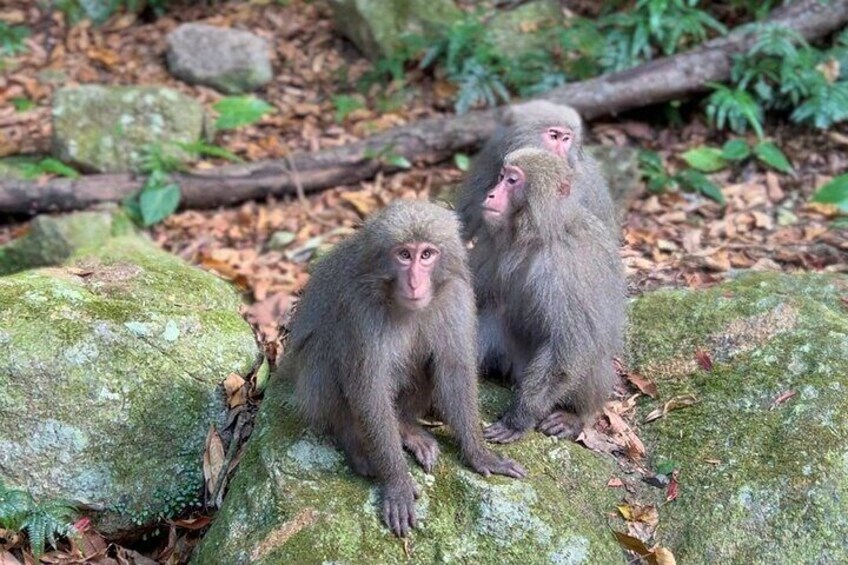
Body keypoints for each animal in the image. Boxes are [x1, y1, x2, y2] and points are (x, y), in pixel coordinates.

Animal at [282, 199, 528, 536]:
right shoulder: (362, 307)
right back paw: (354, 441)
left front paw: (479, 454)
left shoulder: (456, 296)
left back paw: (406, 426)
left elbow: (453, 369)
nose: (414, 282)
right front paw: (397, 482)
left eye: (426, 255)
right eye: (404, 255)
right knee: (330, 346)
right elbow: (369, 388)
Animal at [470, 149, 628, 446]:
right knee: (493, 315)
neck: (536, 235)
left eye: (512, 181)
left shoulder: (565, 267)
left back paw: (575, 416)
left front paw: (518, 419)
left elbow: (568, 349)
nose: (491, 194)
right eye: (501, 176)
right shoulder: (489, 244)